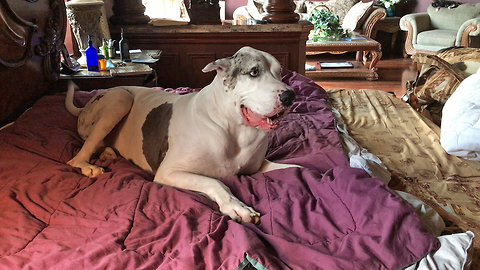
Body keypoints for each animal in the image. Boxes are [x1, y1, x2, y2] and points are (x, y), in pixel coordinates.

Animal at [64, 46, 296, 224]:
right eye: (254, 72)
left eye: (279, 72)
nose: (290, 95)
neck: (234, 129)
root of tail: (84, 108)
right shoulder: (169, 172)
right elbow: (215, 182)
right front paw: (238, 207)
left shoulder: (260, 167)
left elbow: (295, 169)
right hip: (120, 98)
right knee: (78, 156)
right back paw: (90, 166)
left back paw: (107, 152)